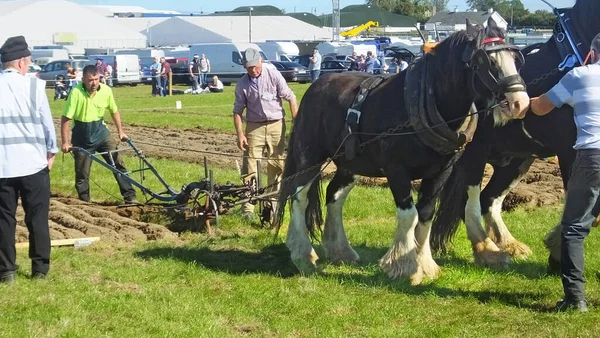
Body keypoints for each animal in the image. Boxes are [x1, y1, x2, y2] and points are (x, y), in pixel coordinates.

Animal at [274, 19, 528, 286]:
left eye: (515, 58)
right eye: (487, 61)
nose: (520, 103)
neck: (426, 102)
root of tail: (317, 85)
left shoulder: (441, 171)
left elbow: (425, 214)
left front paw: (425, 263)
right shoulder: (396, 169)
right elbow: (409, 214)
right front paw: (403, 265)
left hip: (350, 163)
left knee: (335, 195)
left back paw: (340, 250)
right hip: (310, 156)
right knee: (299, 196)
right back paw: (302, 253)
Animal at [432, 0, 600, 270]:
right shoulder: (571, 151)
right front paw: (557, 251)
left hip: (517, 160)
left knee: (488, 199)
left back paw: (509, 245)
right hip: (474, 155)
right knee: (471, 201)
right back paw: (488, 251)